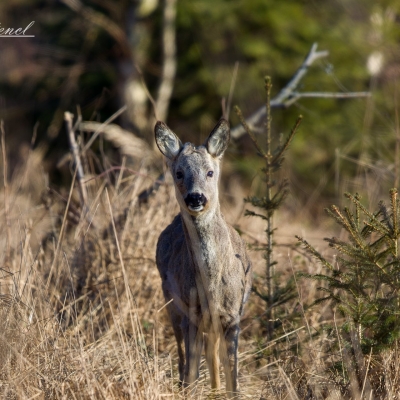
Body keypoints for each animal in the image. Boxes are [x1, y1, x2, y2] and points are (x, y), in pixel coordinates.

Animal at [155, 119, 252, 396]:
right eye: (179, 173)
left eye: (210, 172)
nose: (195, 197)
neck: (211, 286)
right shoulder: (192, 313)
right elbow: (191, 372)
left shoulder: (233, 316)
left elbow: (233, 380)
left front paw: (225, 391)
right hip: (171, 303)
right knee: (184, 359)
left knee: (212, 357)